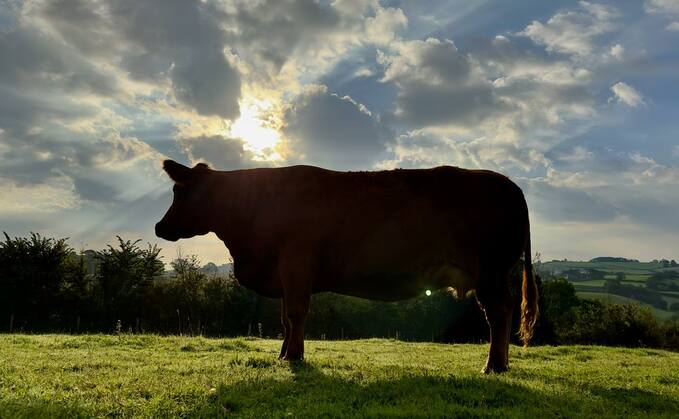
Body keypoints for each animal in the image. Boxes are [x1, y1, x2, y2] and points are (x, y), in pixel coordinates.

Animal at [157, 161, 540, 374]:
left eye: (179, 192)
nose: (160, 227)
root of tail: (511, 186)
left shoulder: (296, 262)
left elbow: (296, 314)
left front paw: (293, 357)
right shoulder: (285, 273)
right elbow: (285, 318)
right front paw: (283, 354)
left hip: (492, 272)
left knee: (499, 313)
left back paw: (493, 365)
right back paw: (500, 364)